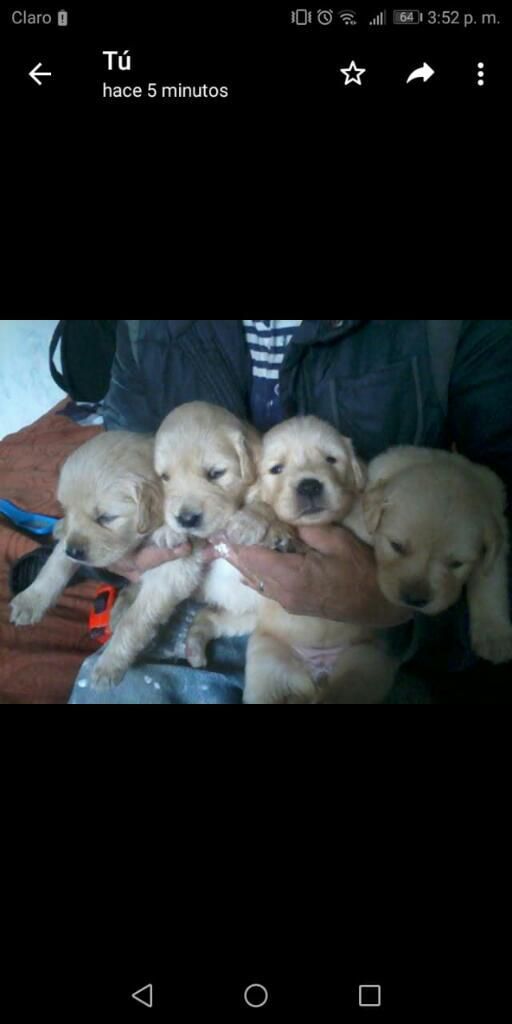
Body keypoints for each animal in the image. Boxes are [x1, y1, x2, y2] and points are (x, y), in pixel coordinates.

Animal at [186, 415, 397, 704]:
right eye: (276, 469)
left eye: (331, 459)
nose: (309, 485)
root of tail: (315, 675)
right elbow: (266, 506)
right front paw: (259, 527)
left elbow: (360, 514)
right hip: (265, 658)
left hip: (366, 662)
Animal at [362, 446, 512, 663]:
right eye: (396, 546)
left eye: (456, 563)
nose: (414, 600)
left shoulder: (499, 534)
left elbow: (490, 580)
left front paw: (494, 634)